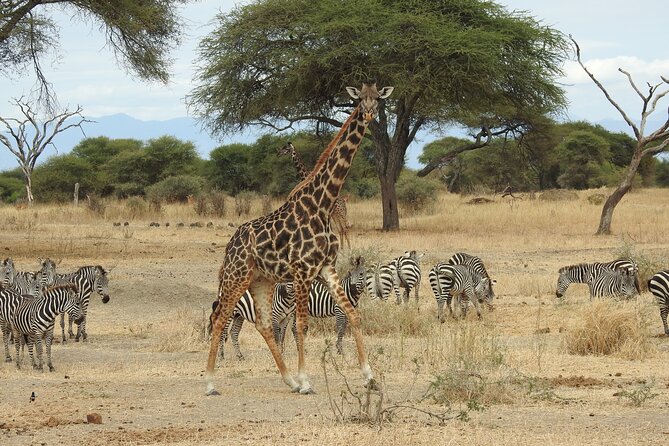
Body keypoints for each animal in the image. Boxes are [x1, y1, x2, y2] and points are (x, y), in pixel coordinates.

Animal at [205, 83, 392, 394]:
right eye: (359, 99)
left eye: (378, 99)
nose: (368, 114)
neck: (322, 204)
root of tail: (230, 244)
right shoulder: (303, 271)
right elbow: (302, 324)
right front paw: (306, 380)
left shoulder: (326, 268)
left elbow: (353, 315)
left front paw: (370, 377)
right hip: (237, 275)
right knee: (219, 318)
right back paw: (209, 383)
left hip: (262, 280)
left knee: (263, 324)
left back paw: (288, 379)